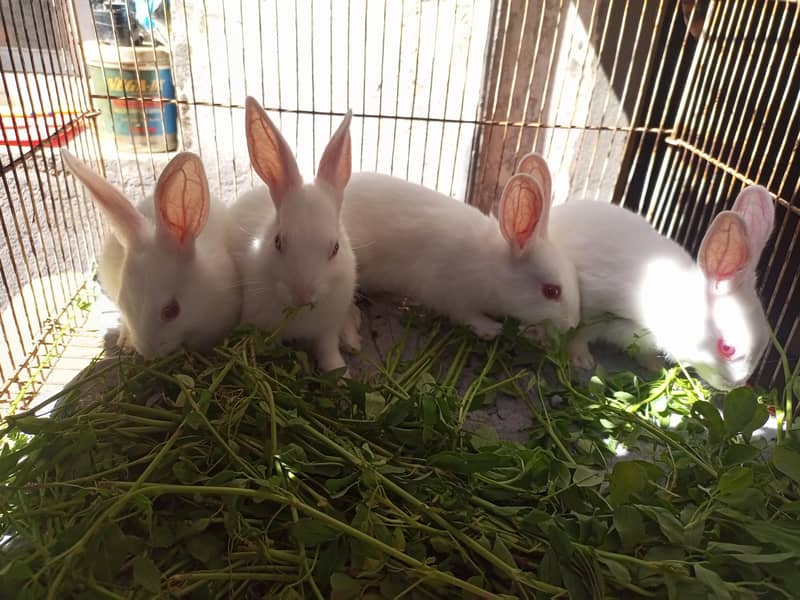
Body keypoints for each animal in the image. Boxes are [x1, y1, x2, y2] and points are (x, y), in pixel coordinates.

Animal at [228, 97, 358, 372]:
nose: (302, 295)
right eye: (277, 242)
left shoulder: (328, 328)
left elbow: (329, 352)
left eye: (335, 248)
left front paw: (340, 374)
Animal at [339, 171, 581, 340]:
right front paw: (491, 329)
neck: (490, 268)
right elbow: (466, 315)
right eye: (551, 291)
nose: (572, 325)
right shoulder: (450, 293)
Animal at [515, 153, 775, 390]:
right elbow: (578, 333)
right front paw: (581, 359)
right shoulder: (591, 307)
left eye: (765, 342)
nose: (737, 384)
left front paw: (654, 365)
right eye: (727, 348)